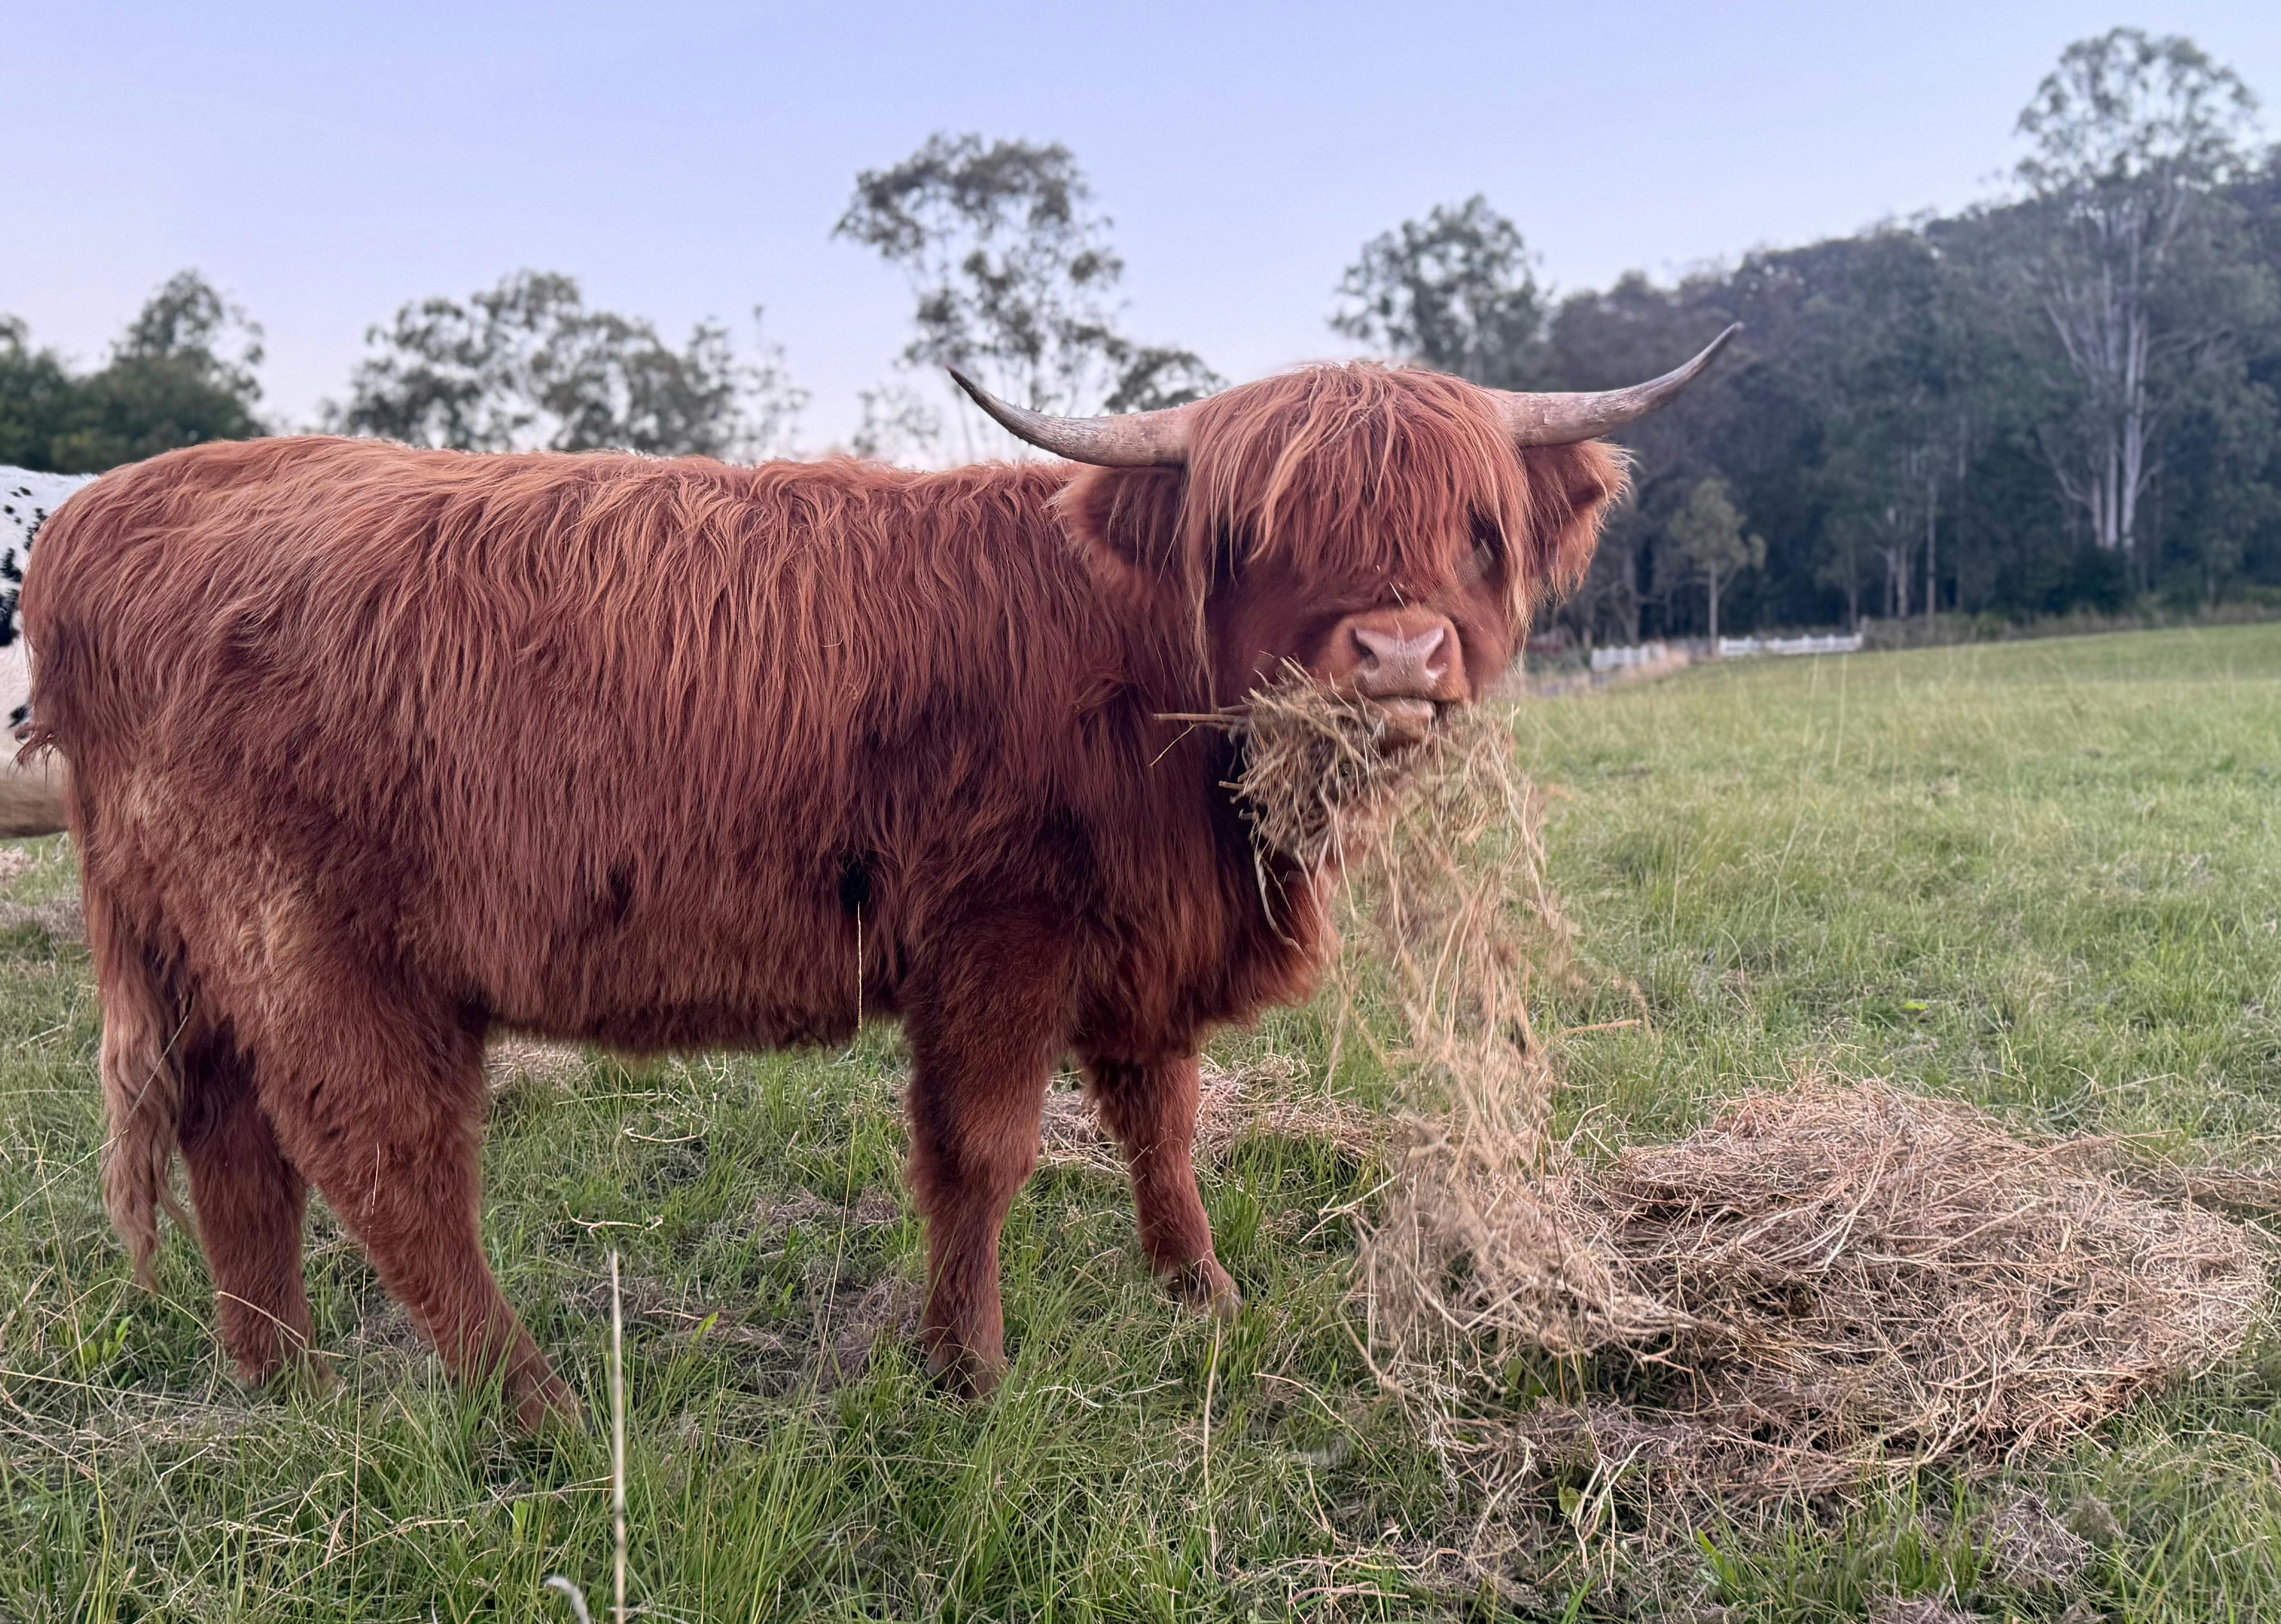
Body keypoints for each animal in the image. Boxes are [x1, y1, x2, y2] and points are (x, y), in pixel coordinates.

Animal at [22, 333, 1733, 1426]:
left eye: (1477, 528)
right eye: (1259, 531)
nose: (1395, 655)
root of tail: (116, 503)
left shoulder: (1137, 940)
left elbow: (1160, 1119)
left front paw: (1200, 1291)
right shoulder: (997, 930)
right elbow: (982, 1151)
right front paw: (968, 1369)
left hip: (209, 950)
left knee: (235, 1143)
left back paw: (282, 1384)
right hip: (318, 946)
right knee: (383, 1162)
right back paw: (538, 1412)